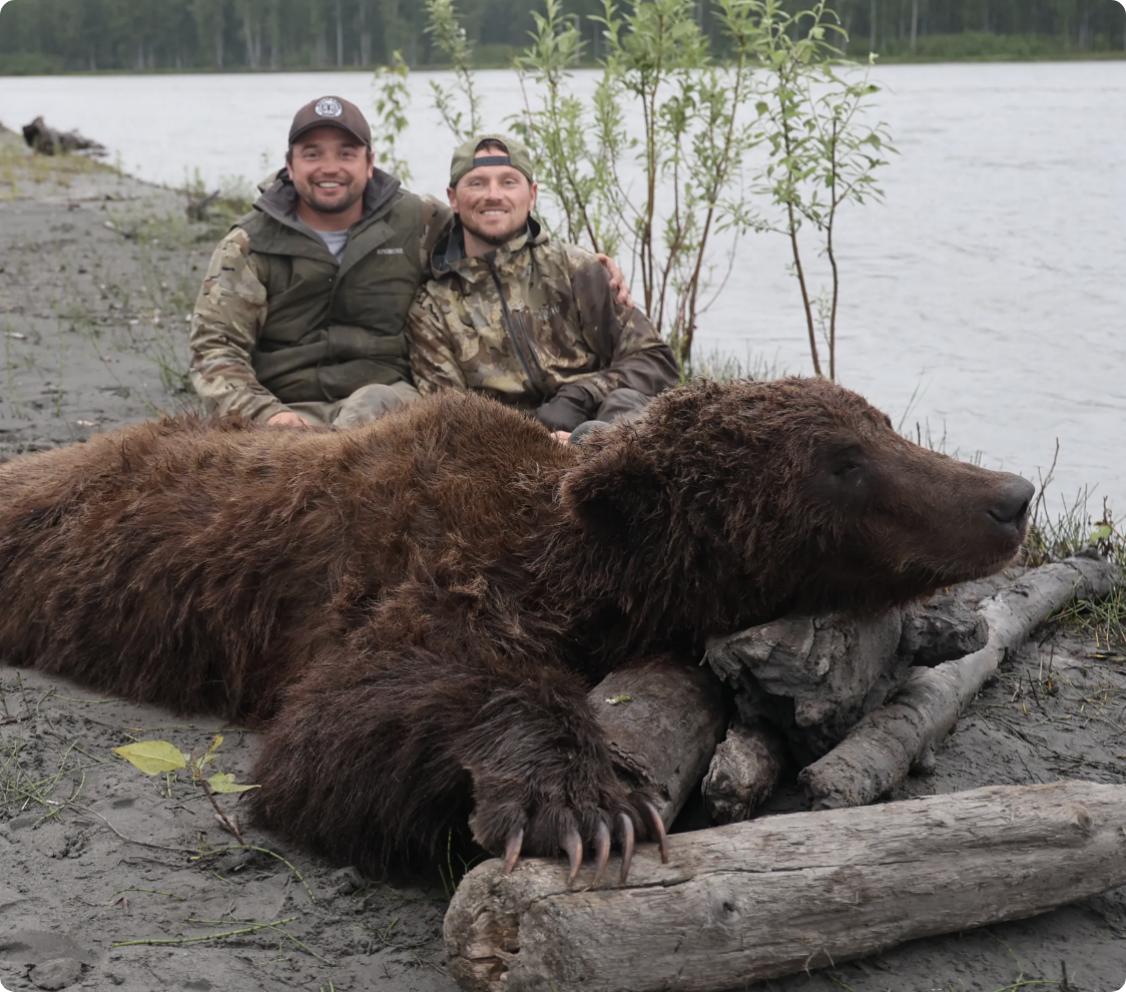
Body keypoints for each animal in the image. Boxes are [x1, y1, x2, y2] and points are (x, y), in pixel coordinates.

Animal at [0, 377, 1034, 882]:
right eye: (843, 462)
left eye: (885, 425)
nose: (1011, 494)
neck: (583, 561)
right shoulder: (420, 560)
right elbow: (347, 717)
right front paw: (581, 804)